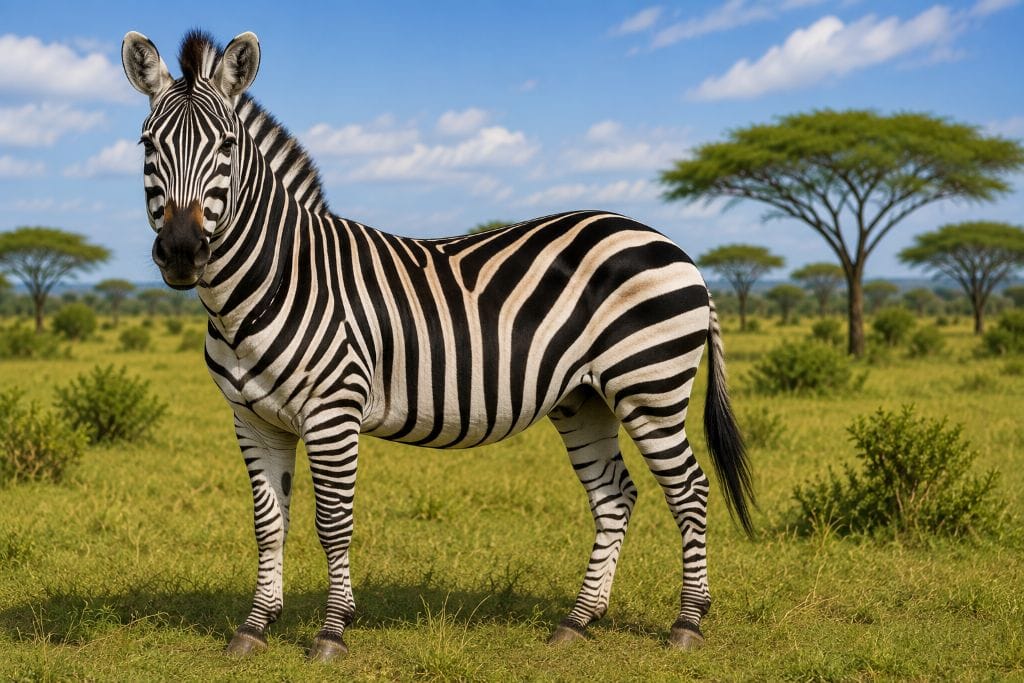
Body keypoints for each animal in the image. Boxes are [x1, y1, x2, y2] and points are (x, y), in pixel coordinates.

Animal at [121, 29, 754, 661]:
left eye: (227, 145)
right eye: (147, 144)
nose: (182, 251)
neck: (274, 280)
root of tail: (671, 244)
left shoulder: (332, 412)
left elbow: (333, 522)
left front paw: (331, 632)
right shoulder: (253, 419)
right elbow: (268, 523)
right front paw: (254, 627)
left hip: (649, 385)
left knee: (691, 491)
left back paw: (687, 624)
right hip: (584, 398)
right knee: (615, 496)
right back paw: (577, 620)